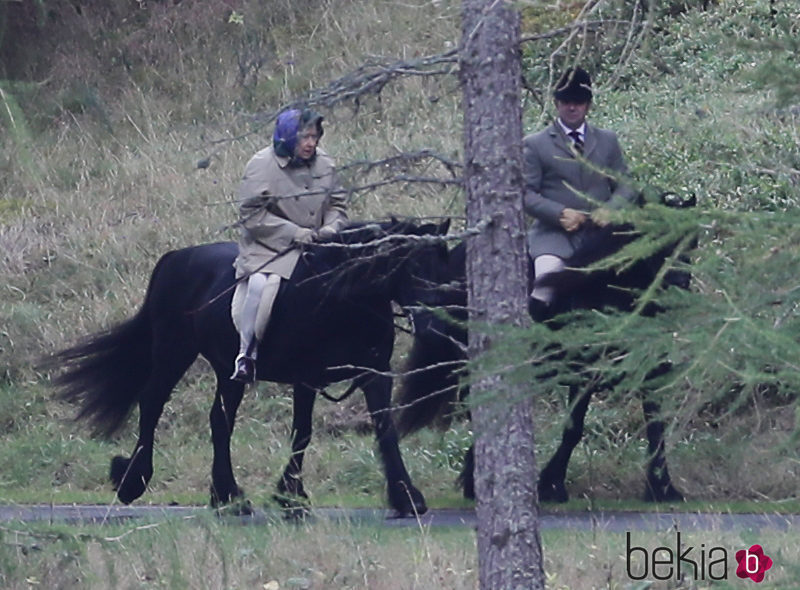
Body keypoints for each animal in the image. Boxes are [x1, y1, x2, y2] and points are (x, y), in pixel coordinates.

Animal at [50, 219, 450, 520]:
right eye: (412, 266)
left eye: (444, 264)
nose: (434, 324)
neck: (341, 296)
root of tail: (176, 257)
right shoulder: (307, 376)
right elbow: (303, 432)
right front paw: (292, 496)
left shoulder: (372, 374)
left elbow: (381, 429)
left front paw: (405, 497)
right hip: (174, 351)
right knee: (153, 404)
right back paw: (139, 481)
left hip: (225, 370)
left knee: (218, 420)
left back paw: (225, 496)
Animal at [398, 202, 692, 504]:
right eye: (655, 240)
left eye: (691, 241)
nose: (682, 279)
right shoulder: (584, 371)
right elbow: (574, 429)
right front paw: (551, 485)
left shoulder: (650, 367)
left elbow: (655, 425)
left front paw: (663, 488)